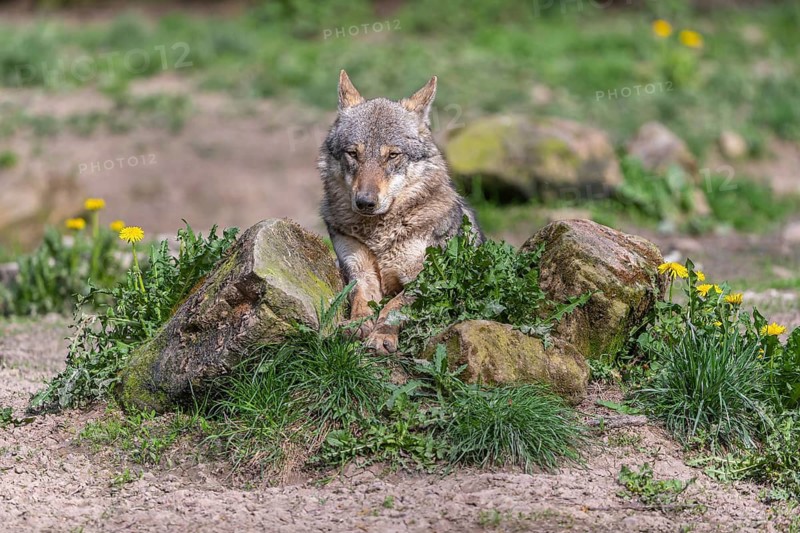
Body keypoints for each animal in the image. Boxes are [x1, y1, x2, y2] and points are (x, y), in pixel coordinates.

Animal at [319, 70, 484, 354]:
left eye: (393, 155)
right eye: (353, 153)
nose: (365, 202)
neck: (379, 236)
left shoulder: (426, 279)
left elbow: (394, 307)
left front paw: (382, 335)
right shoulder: (359, 271)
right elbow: (361, 299)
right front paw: (356, 326)